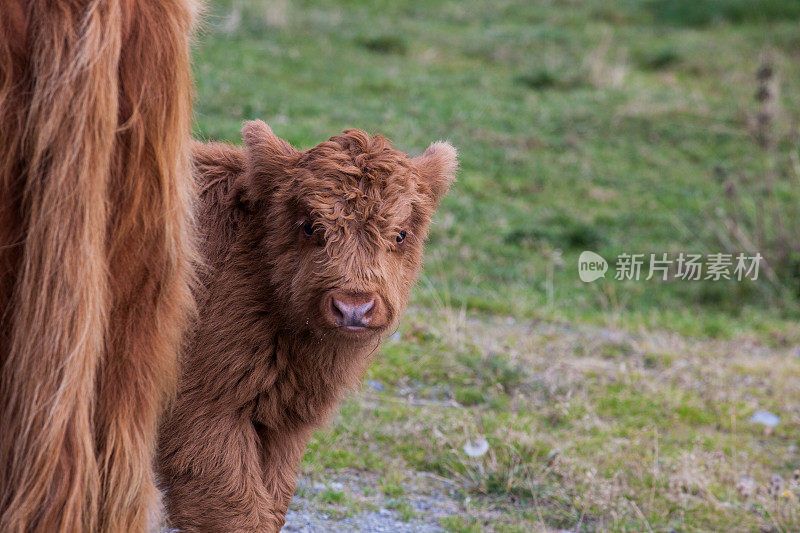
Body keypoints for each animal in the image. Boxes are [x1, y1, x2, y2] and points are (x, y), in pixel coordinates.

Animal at [158, 121, 456, 532]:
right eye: (310, 227)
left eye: (400, 234)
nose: (353, 307)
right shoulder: (202, 412)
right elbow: (237, 510)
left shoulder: (283, 426)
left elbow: (272, 503)